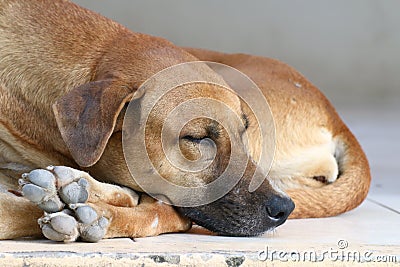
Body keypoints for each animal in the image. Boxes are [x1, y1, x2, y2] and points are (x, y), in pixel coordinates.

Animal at [0, 0, 368, 243]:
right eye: (196, 138)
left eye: (243, 131)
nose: (283, 209)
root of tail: (333, 114)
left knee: (165, 211)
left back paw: (87, 202)